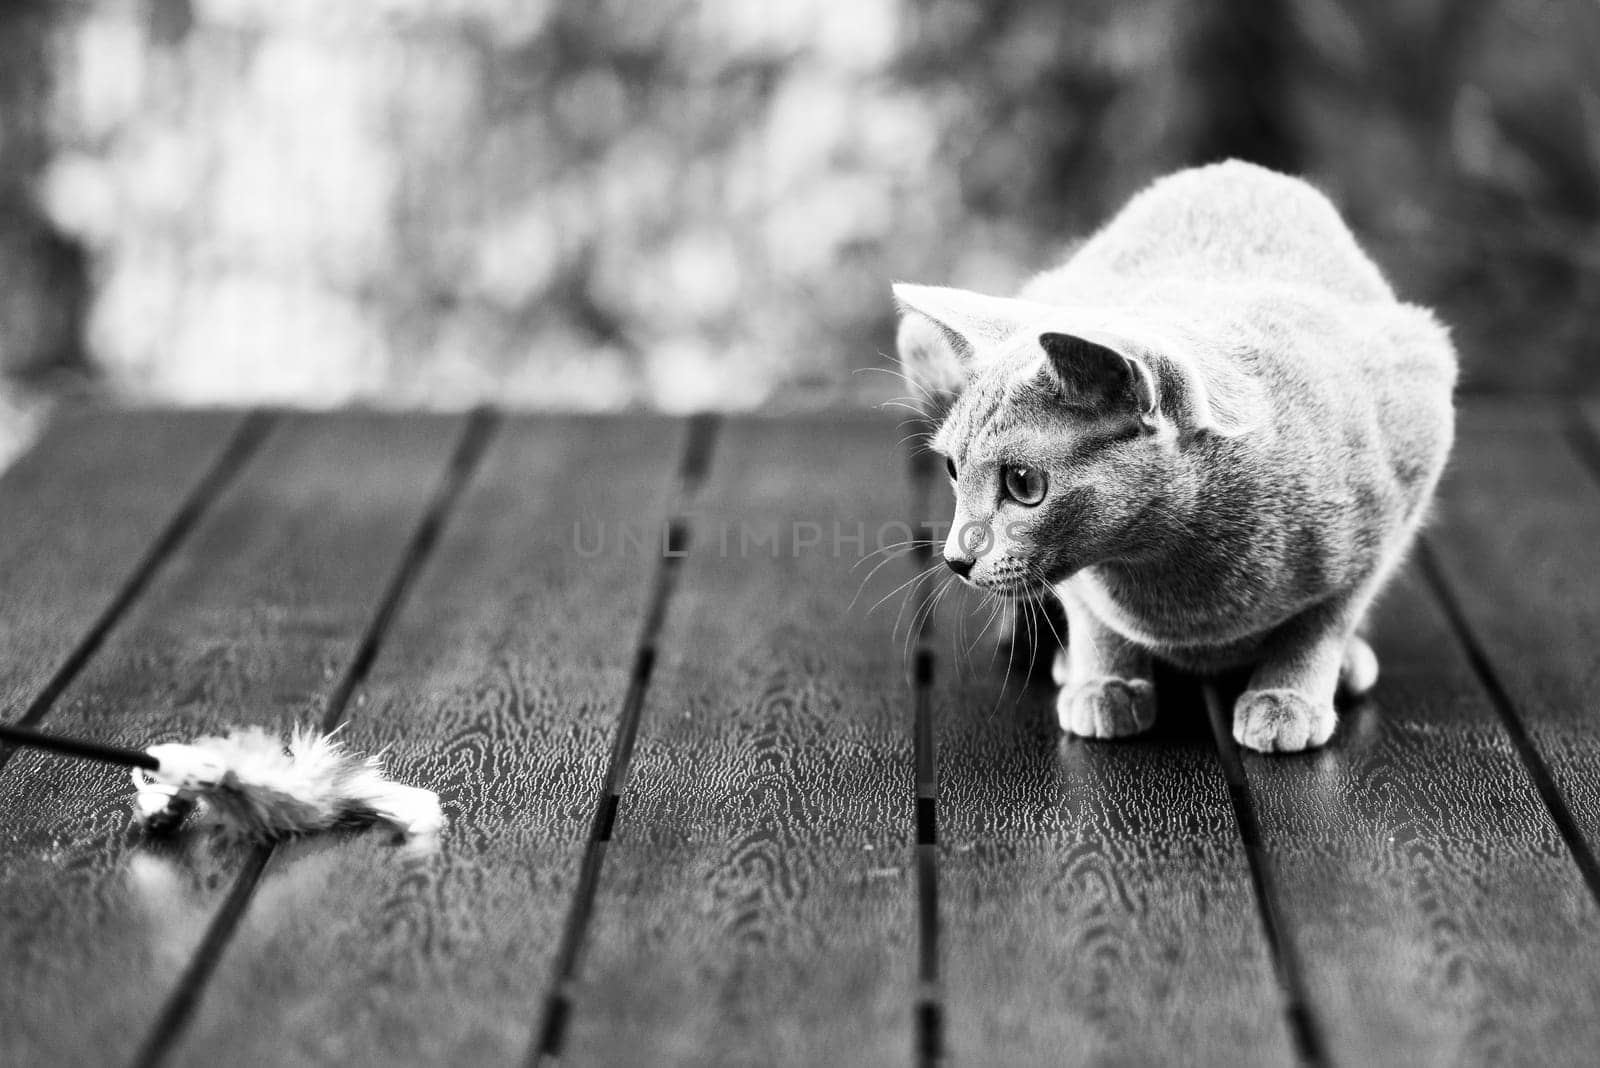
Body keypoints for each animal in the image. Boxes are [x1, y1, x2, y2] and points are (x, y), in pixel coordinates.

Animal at [896, 163, 1459, 754]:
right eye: (952, 470)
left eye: (1024, 483)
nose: (954, 559)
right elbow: (1092, 613)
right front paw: (1104, 684)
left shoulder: (1400, 483)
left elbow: (1324, 619)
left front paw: (1286, 698)